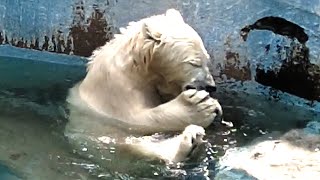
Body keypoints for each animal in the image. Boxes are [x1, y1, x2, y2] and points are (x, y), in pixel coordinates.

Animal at [63, 8, 221, 165]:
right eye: (194, 63)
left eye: (207, 59)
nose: (211, 86)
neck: (136, 66)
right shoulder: (118, 88)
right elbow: (136, 118)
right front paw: (201, 105)